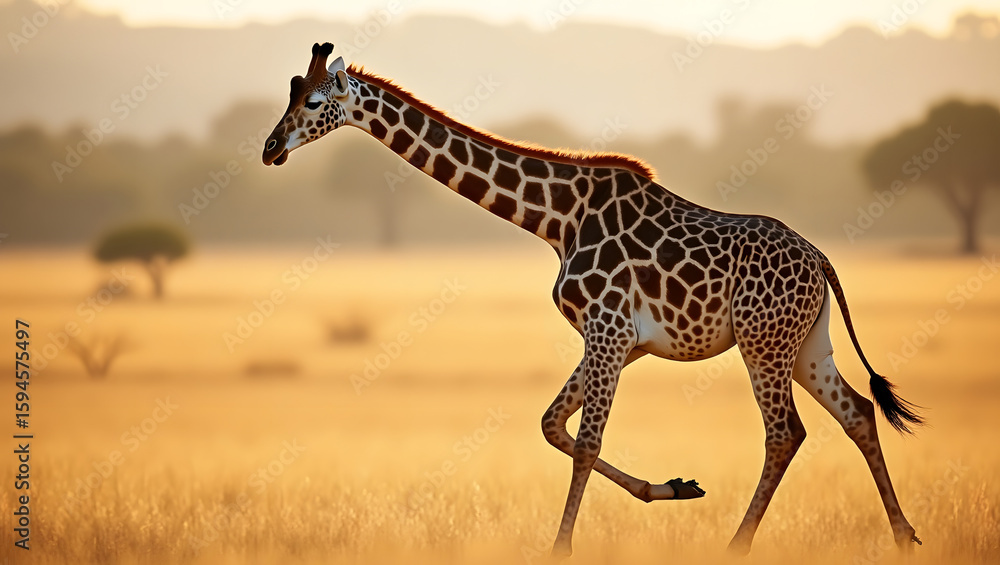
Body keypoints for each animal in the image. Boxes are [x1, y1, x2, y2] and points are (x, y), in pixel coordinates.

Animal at [262, 42, 925, 557]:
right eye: (289, 96)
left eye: (314, 104)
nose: (270, 149)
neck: (557, 219)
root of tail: (820, 260)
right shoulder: (614, 340)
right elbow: (553, 425)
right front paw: (675, 488)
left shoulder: (609, 330)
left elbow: (583, 442)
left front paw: (561, 548)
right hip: (807, 343)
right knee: (857, 413)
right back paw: (904, 537)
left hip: (764, 342)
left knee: (786, 433)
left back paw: (736, 547)